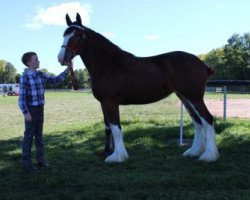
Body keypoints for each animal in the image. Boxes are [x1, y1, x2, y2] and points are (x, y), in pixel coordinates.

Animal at [57, 12, 218, 163]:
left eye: (78, 34)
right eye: (64, 34)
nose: (61, 58)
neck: (107, 64)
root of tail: (202, 63)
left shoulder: (111, 101)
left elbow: (116, 127)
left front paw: (118, 156)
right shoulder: (103, 103)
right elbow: (108, 127)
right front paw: (107, 152)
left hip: (195, 98)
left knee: (207, 119)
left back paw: (209, 155)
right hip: (185, 98)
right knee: (198, 122)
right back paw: (194, 152)